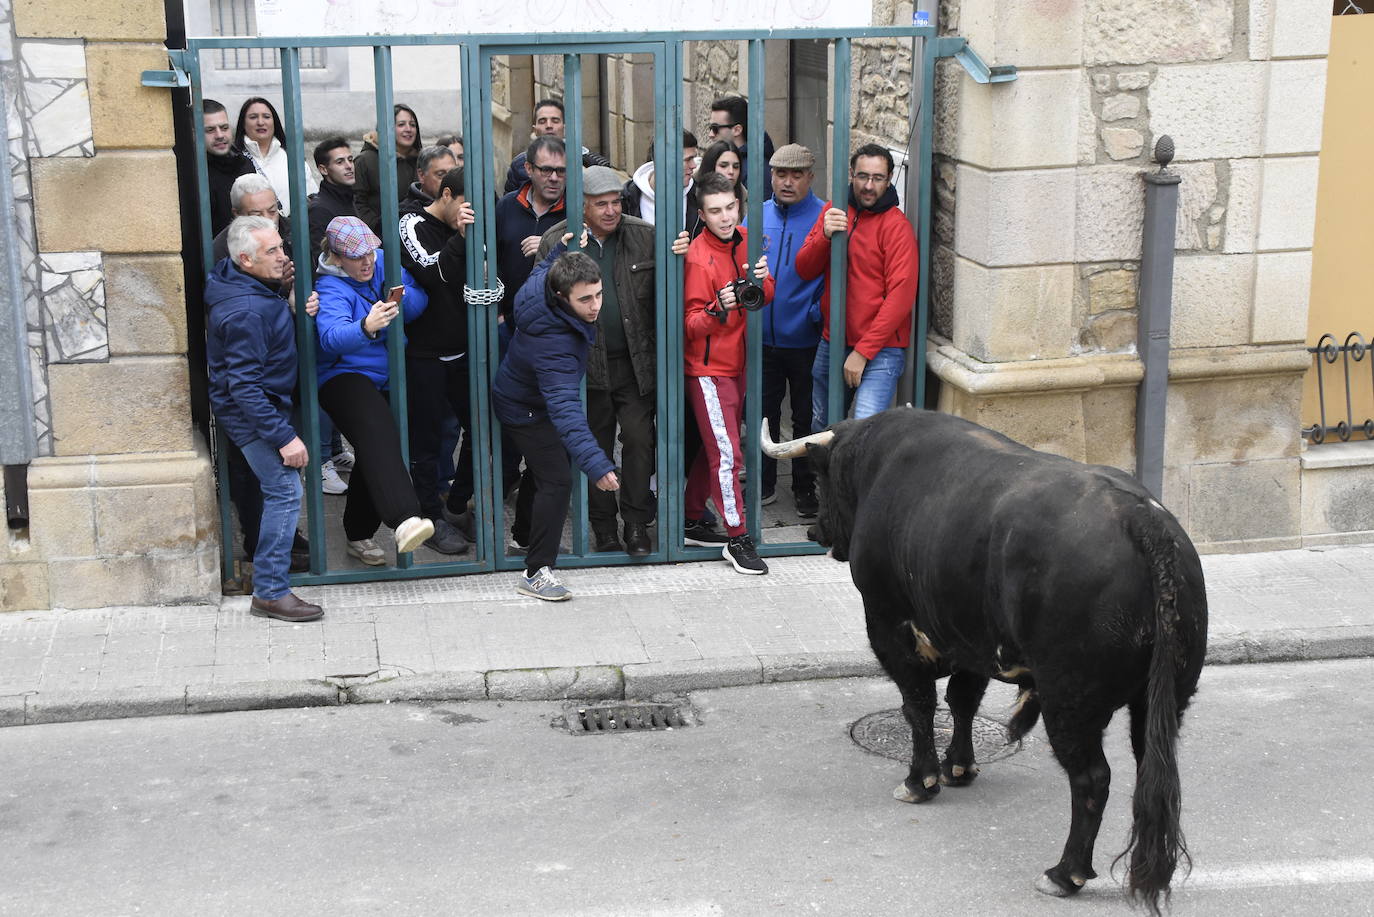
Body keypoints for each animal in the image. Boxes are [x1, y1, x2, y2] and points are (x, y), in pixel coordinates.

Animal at [769, 412, 1209, 912]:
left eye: (820, 480)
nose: (814, 532)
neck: (876, 463)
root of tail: (1141, 518)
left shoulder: (889, 625)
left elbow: (918, 706)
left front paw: (920, 781)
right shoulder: (969, 639)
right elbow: (963, 700)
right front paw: (958, 767)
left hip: (1070, 703)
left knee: (1092, 779)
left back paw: (1064, 873)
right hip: (1162, 701)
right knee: (1153, 774)